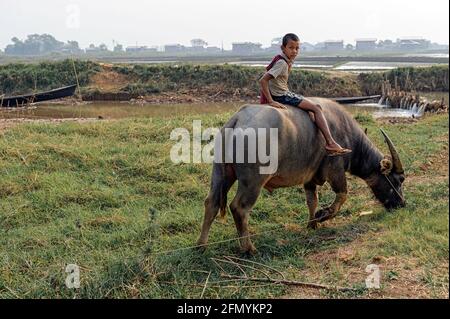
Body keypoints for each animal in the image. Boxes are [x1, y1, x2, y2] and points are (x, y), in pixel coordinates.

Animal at [197, 99, 404, 254]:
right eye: (398, 180)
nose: (402, 204)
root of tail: (237, 120)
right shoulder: (335, 170)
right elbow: (342, 195)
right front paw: (322, 216)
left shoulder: (310, 177)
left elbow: (312, 200)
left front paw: (312, 224)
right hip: (253, 181)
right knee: (239, 208)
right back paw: (249, 248)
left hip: (220, 173)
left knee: (211, 202)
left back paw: (202, 245)